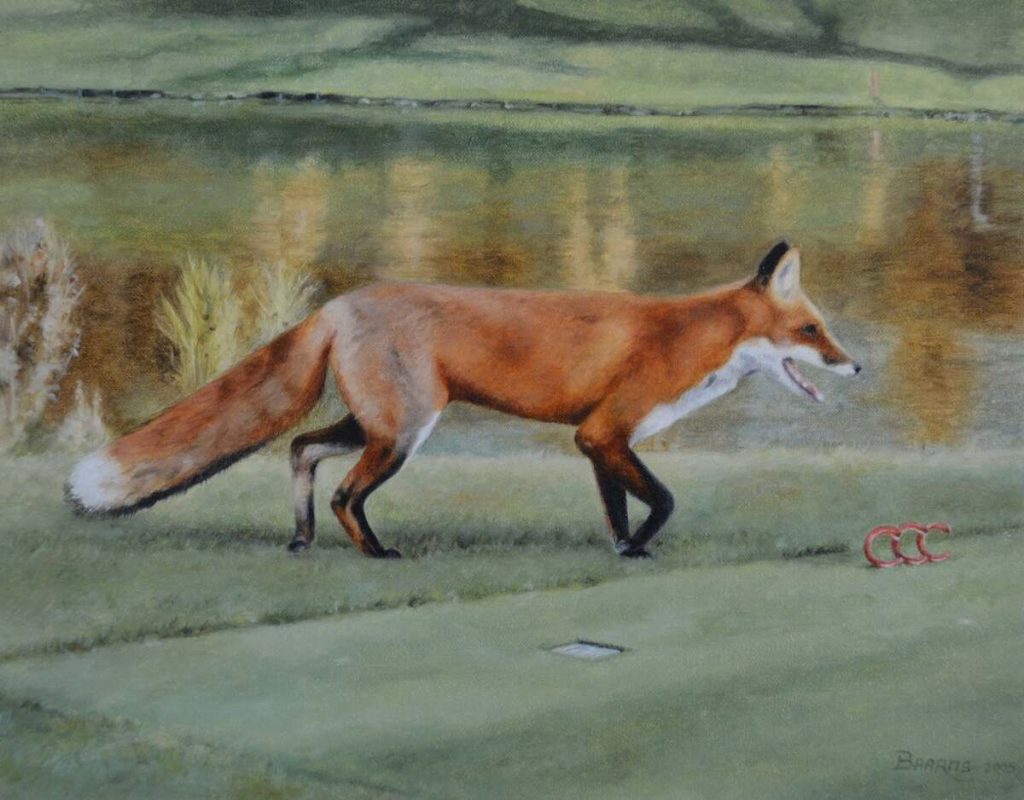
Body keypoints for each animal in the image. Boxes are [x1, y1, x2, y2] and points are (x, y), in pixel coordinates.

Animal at [66, 241, 860, 559]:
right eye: (812, 330)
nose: (854, 366)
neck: (694, 337)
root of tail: (341, 303)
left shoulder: (598, 441)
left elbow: (617, 505)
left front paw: (624, 549)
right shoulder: (606, 431)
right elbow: (662, 499)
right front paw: (639, 544)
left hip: (376, 425)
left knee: (299, 448)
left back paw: (300, 538)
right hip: (402, 433)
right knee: (346, 493)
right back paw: (376, 554)